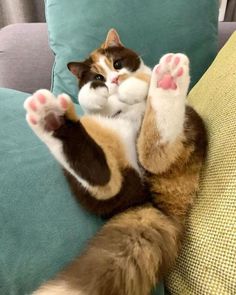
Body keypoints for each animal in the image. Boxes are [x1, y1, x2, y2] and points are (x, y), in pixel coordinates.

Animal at [23, 28, 206, 295]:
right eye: (97, 75)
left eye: (117, 64)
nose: (115, 81)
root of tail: (153, 204)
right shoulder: (98, 113)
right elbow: (89, 100)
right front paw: (95, 92)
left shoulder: (142, 76)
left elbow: (141, 81)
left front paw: (131, 87)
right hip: (110, 147)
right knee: (108, 183)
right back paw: (52, 119)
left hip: (189, 127)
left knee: (154, 156)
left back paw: (167, 78)